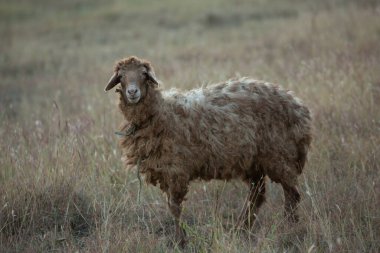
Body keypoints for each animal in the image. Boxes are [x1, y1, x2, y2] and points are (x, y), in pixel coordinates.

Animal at [103, 55, 312, 245]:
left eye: (144, 74)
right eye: (121, 76)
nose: (132, 92)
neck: (162, 113)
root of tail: (298, 106)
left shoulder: (176, 169)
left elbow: (174, 207)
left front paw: (181, 241)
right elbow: (172, 206)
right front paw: (181, 239)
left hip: (280, 155)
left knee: (292, 194)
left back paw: (289, 227)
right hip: (254, 161)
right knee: (257, 195)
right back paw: (240, 229)